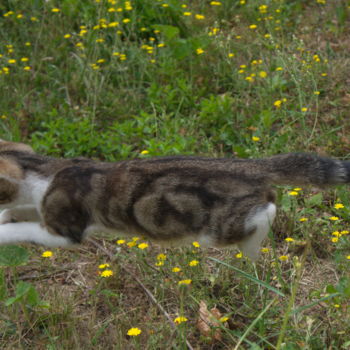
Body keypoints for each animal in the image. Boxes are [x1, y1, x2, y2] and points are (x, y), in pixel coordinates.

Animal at [0, 139, 350, 260]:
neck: (43, 169)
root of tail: (244, 164)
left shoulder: (64, 229)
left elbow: (26, 229)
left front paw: (4, 230)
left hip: (217, 228)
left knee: (266, 211)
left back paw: (251, 252)